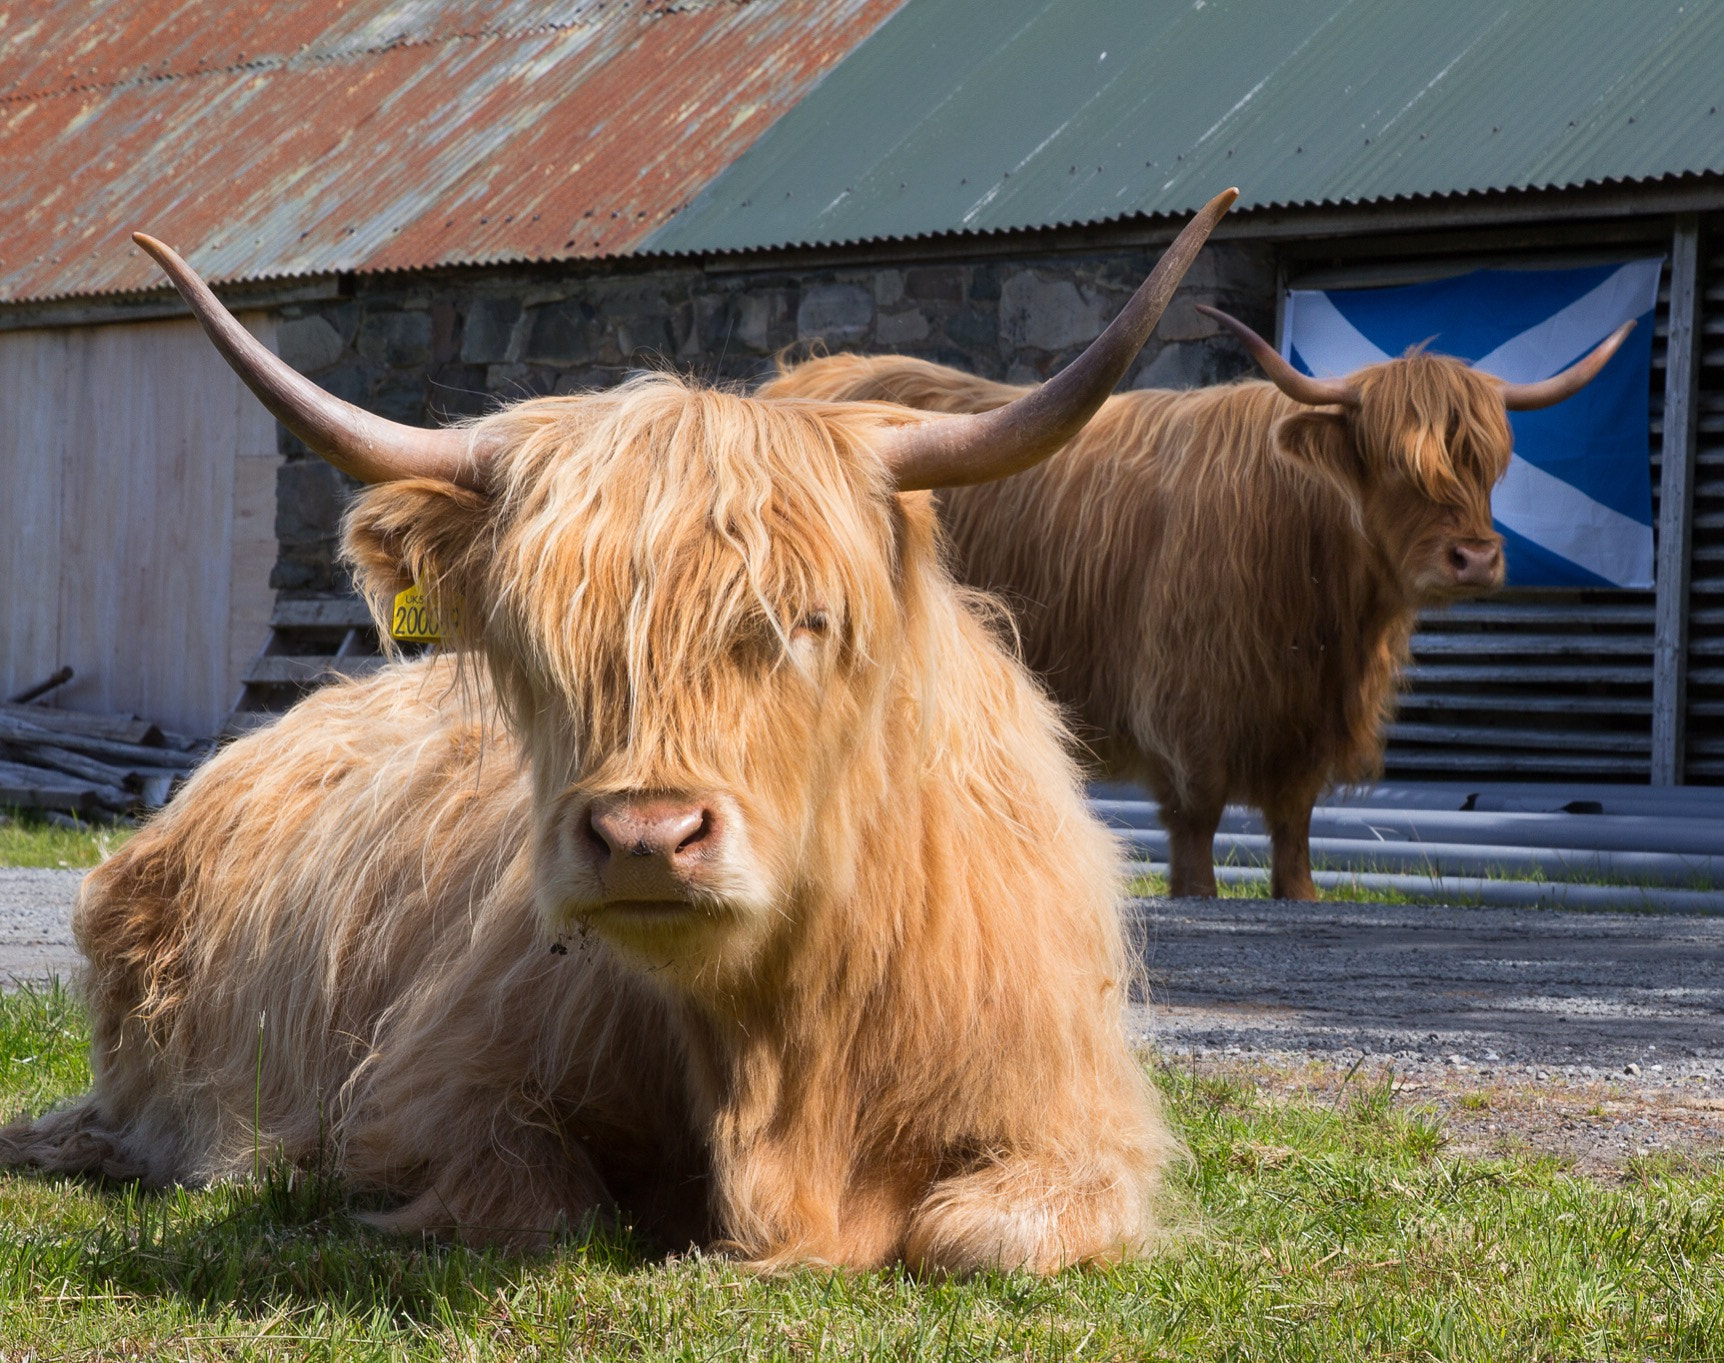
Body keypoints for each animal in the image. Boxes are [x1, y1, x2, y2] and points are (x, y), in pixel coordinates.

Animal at [0, 190, 1238, 1274]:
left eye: (807, 618)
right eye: (530, 633)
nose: (646, 837)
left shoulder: (1071, 1122)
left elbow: (979, 1235)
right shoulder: (438, 1081)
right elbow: (545, 1205)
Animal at [763, 307, 1631, 900]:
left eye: (1491, 462)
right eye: (1393, 462)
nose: (1475, 557)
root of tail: (803, 378)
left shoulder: (1305, 719)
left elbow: (1294, 817)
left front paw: (1299, 893)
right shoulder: (1191, 695)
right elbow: (1196, 811)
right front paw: (1197, 891)